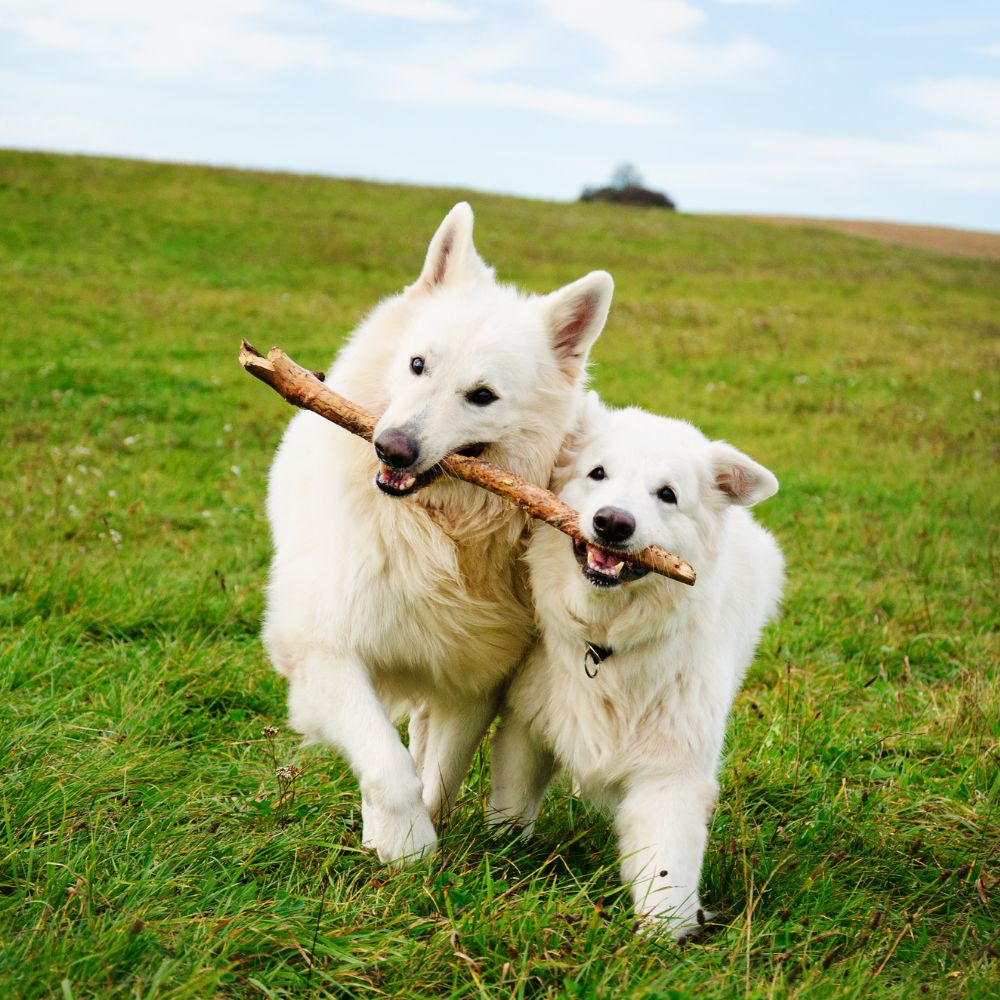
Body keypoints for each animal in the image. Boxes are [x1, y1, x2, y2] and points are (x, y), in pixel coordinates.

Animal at [262, 201, 612, 860]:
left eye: (482, 396)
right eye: (418, 365)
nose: (391, 449)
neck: (435, 531)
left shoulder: (473, 678)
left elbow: (440, 772)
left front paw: (417, 838)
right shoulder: (325, 651)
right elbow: (385, 760)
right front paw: (404, 845)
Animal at [488, 392, 784, 936]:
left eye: (667, 494)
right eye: (598, 473)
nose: (613, 522)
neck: (604, 643)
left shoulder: (671, 773)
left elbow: (666, 866)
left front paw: (664, 937)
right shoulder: (527, 728)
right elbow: (512, 807)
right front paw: (498, 853)